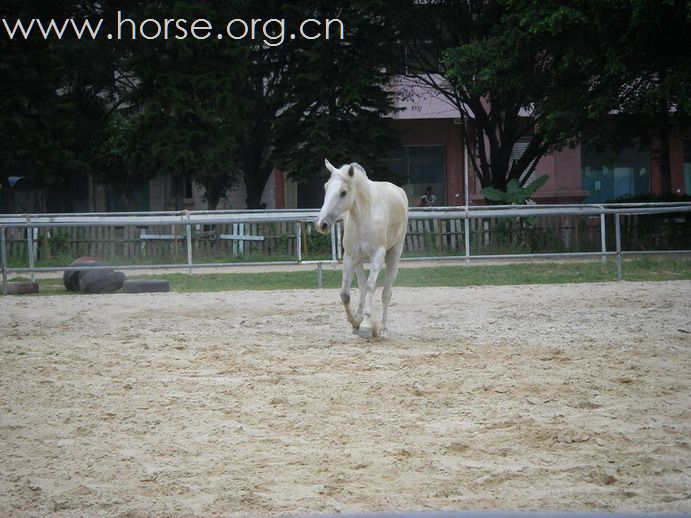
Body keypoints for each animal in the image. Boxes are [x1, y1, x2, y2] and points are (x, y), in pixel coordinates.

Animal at [316, 158, 408, 340]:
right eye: (325, 187)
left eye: (343, 192)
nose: (321, 224)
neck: (365, 216)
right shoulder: (349, 257)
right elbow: (346, 293)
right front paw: (355, 322)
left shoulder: (377, 255)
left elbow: (372, 286)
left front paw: (365, 325)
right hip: (358, 262)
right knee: (362, 286)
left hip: (393, 254)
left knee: (386, 293)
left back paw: (383, 329)